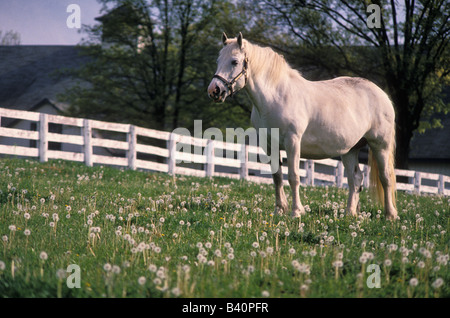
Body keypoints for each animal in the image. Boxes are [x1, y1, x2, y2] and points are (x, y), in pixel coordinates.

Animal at [207, 33, 398, 220]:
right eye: (217, 60)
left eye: (234, 61)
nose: (214, 90)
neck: (275, 96)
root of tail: (381, 94)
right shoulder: (269, 144)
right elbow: (277, 177)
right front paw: (279, 210)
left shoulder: (292, 142)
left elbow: (294, 177)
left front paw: (296, 212)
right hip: (350, 150)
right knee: (355, 179)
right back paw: (349, 213)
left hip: (380, 145)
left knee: (385, 177)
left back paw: (390, 215)